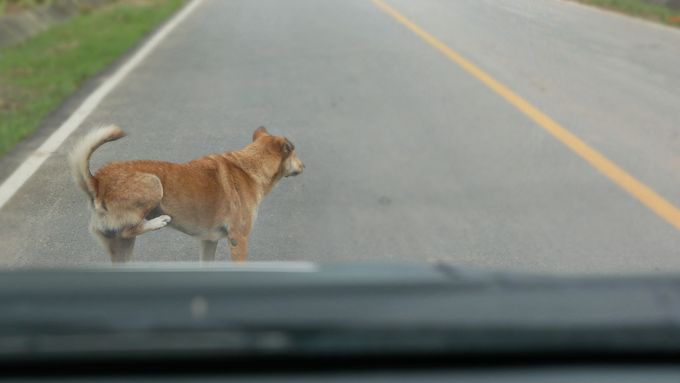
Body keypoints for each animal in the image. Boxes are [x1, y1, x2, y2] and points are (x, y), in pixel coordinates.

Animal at [69, 126, 302, 264]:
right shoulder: (238, 238)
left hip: (121, 248)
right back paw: (159, 221)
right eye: (295, 154)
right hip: (153, 185)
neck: (249, 166)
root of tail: (97, 181)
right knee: (129, 229)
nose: (304, 165)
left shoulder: (209, 241)